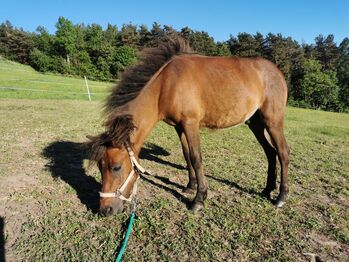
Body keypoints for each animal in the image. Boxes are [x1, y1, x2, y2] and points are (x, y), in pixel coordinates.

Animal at [86, 37, 288, 217]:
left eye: (116, 167)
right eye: (99, 167)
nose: (105, 210)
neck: (166, 84)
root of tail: (277, 71)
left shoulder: (191, 124)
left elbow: (196, 158)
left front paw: (199, 199)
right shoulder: (179, 127)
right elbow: (186, 155)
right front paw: (190, 186)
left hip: (273, 121)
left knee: (283, 152)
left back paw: (281, 197)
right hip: (256, 124)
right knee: (270, 153)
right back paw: (267, 189)